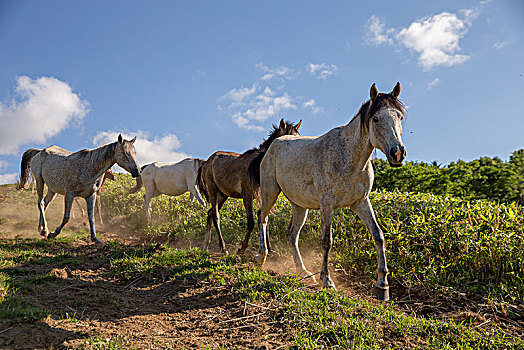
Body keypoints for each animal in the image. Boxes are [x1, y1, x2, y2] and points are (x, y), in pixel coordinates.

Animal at [198, 118, 302, 254]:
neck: (257, 167)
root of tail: (206, 162)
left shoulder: (263, 197)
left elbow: (264, 218)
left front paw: (269, 249)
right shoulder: (247, 196)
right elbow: (251, 221)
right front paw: (242, 248)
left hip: (223, 195)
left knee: (210, 213)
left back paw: (206, 245)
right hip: (213, 191)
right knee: (216, 216)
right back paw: (223, 248)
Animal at [252, 83, 408, 302]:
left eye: (399, 117)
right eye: (376, 118)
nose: (398, 153)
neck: (349, 158)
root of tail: (275, 143)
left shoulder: (361, 202)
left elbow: (378, 235)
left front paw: (382, 285)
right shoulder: (327, 204)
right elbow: (327, 241)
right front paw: (327, 281)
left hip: (300, 206)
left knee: (292, 235)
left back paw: (304, 272)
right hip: (270, 192)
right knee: (262, 218)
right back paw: (261, 257)